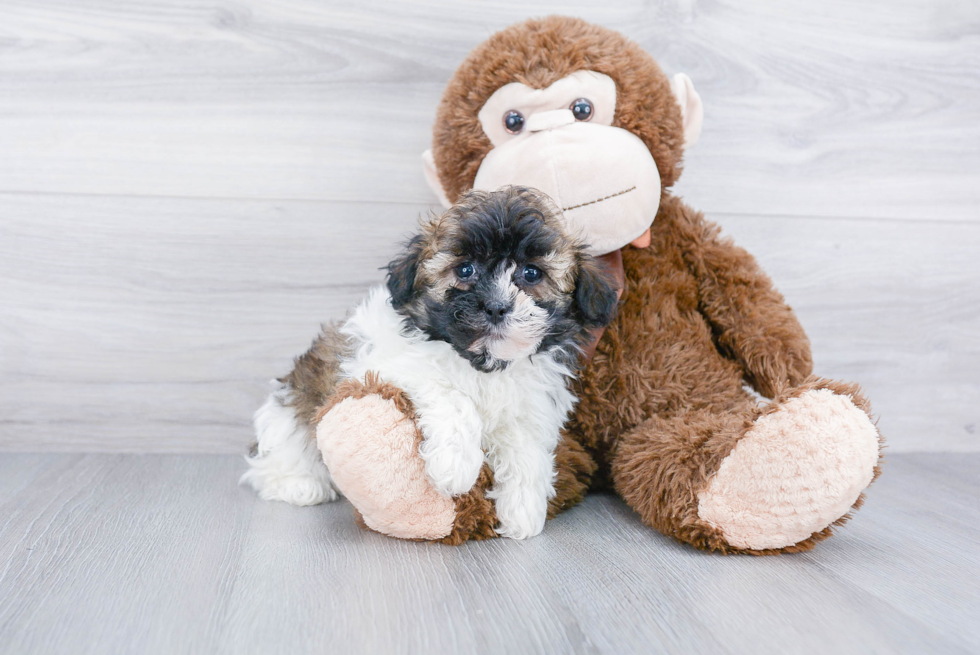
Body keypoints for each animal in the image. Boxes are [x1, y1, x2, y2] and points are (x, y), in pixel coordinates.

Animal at [241, 187, 616, 540]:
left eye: (532, 273)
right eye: (464, 269)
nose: (496, 307)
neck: (480, 362)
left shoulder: (529, 404)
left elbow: (526, 447)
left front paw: (523, 510)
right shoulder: (385, 364)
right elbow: (453, 396)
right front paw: (456, 467)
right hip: (289, 420)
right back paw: (298, 483)